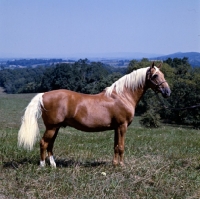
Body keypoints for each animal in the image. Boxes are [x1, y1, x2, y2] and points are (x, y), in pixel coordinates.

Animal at [18, 61, 170, 167]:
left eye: (163, 75)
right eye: (155, 75)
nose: (167, 92)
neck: (122, 96)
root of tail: (43, 95)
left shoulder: (117, 128)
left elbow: (116, 146)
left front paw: (115, 164)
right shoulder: (122, 126)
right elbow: (121, 147)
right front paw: (121, 165)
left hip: (56, 127)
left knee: (50, 144)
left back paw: (54, 165)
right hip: (52, 127)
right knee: (43, 143)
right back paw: (43, 165)